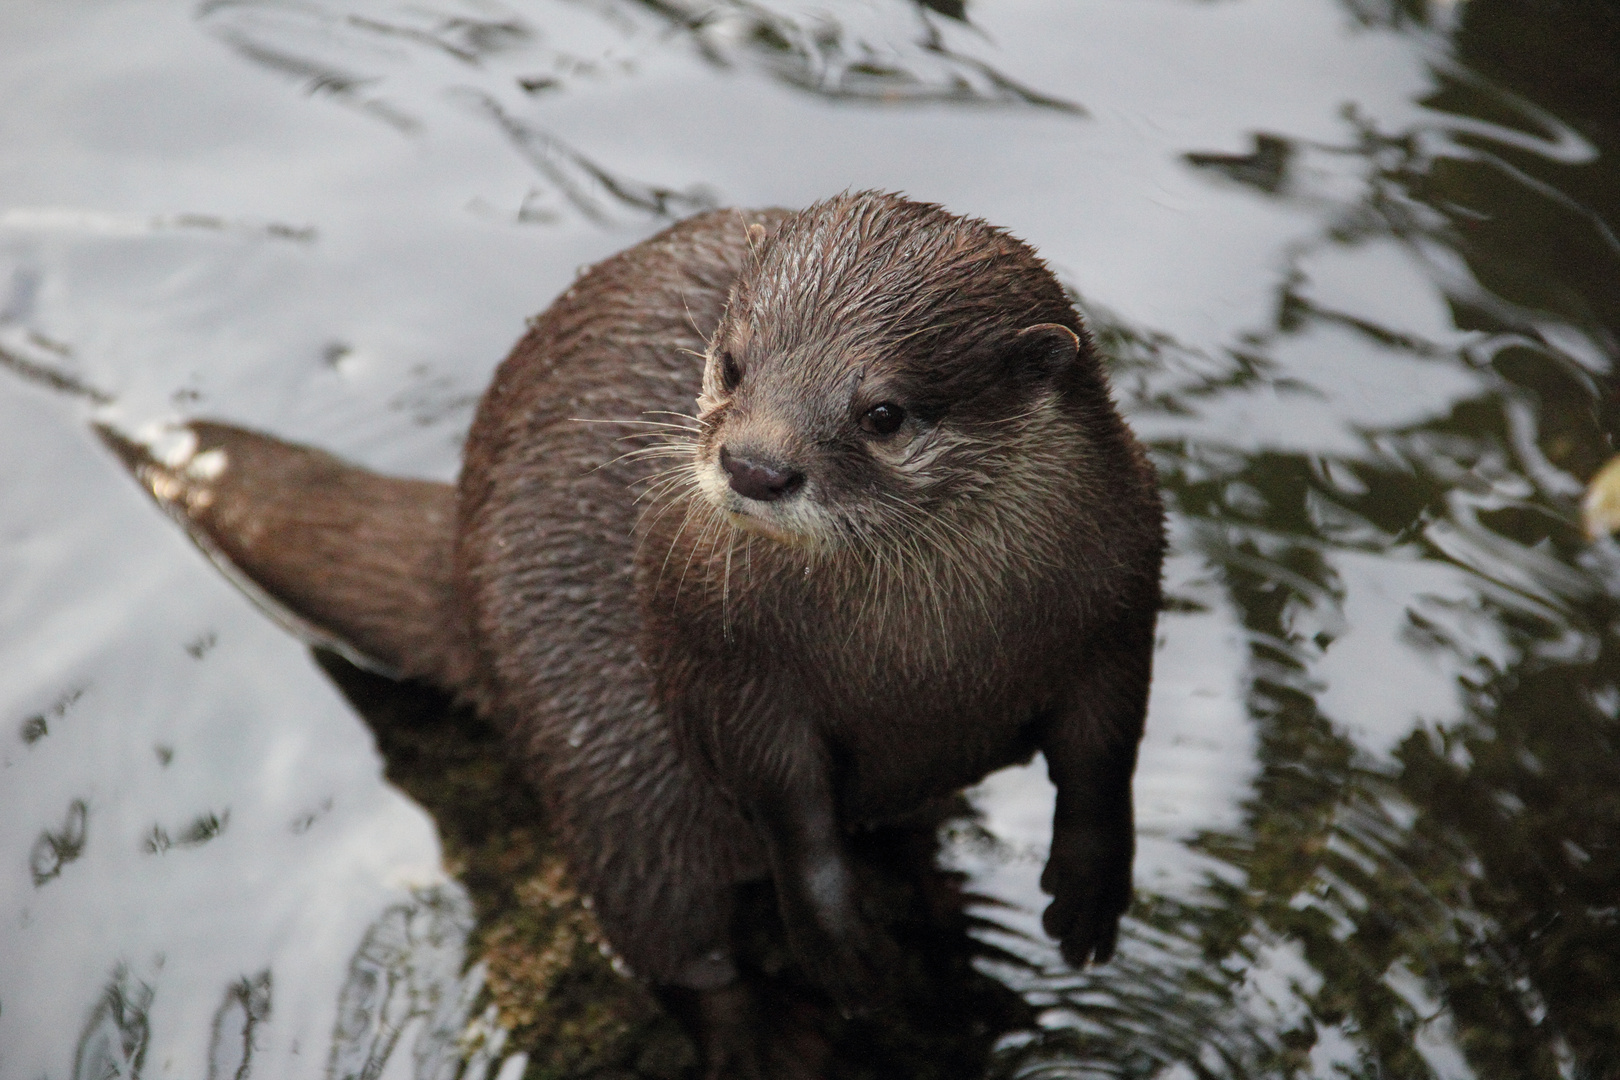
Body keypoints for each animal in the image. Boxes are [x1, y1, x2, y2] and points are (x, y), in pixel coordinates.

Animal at [101, 191, 1166, 1075]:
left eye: (884, 412)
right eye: (731, 365)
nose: (755, 465)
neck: (926, 660)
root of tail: (460, 556)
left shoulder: (1124, 590)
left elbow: (1104, 754)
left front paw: (1089, 892)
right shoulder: (717, 656)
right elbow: (787, 808)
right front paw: (840, 949)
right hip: (599, 761)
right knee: (666, 934)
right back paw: (768, 1044)